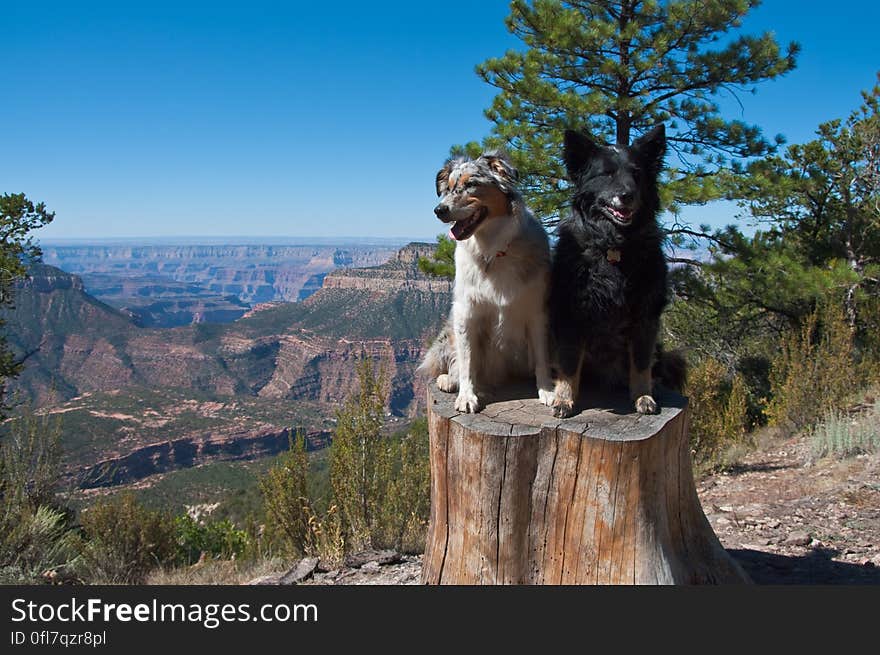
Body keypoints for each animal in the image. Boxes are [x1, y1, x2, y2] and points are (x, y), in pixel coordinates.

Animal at [548, 125, 684, 418]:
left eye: (637, 174)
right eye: (607, 173)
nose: (627, 195)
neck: (613, 246)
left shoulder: (646, 316)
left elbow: (641, 363)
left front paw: (643, 396)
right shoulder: (570, 314)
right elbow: (568, 361)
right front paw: (564, 399)